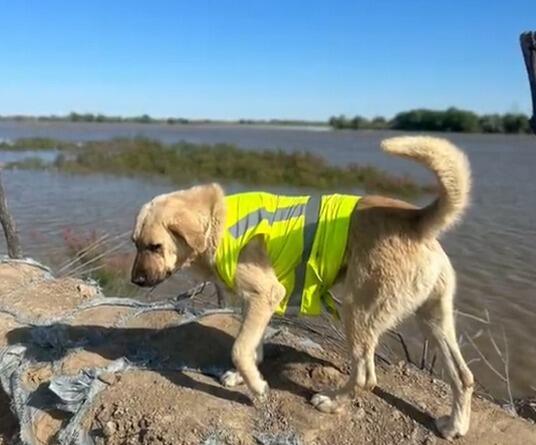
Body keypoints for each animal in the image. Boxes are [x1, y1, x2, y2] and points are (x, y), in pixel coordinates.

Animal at [132, 136, 476, 440]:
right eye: (135, 244)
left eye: (155, 246)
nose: (135, 281)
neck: (217, 221)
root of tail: (417, 220)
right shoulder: (256, 301)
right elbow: (251, 345)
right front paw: (246, 376)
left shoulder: (265, 295)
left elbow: (240, 348)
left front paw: (257, 387)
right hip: (433, 318)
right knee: (463, 376)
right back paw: (454, 426)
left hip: (358, 312)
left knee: (365, 377)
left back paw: (332, 401)